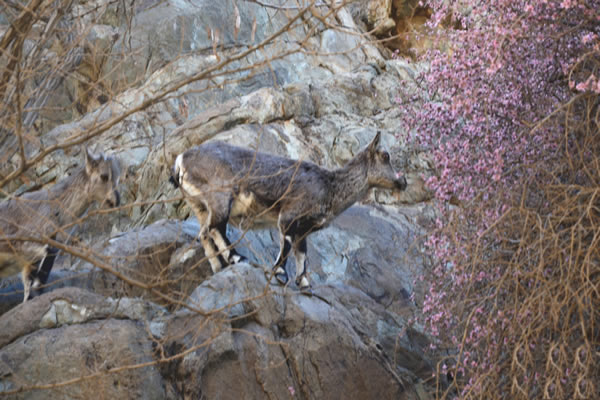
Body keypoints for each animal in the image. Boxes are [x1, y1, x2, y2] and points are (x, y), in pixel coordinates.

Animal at [0, 148, 120, 302]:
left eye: (117, 177)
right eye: (104, 176)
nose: (116, 200)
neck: (57, 208)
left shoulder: (29, 261)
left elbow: (29, 285)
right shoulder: (21, 241)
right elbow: (49, 252)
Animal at [171, 133, 408, 292]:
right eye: (385, 155)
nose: (403, 182)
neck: (329, 187)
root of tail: (181, 161)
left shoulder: (304, 229)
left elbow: (302, 253)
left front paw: (303, 282)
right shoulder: (289, 215)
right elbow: (285, 245)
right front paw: (280, 274)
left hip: (199, 205)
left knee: (203, 233)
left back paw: (217, 267)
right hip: (220, 196)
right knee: (215, 228)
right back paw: (236, 257)